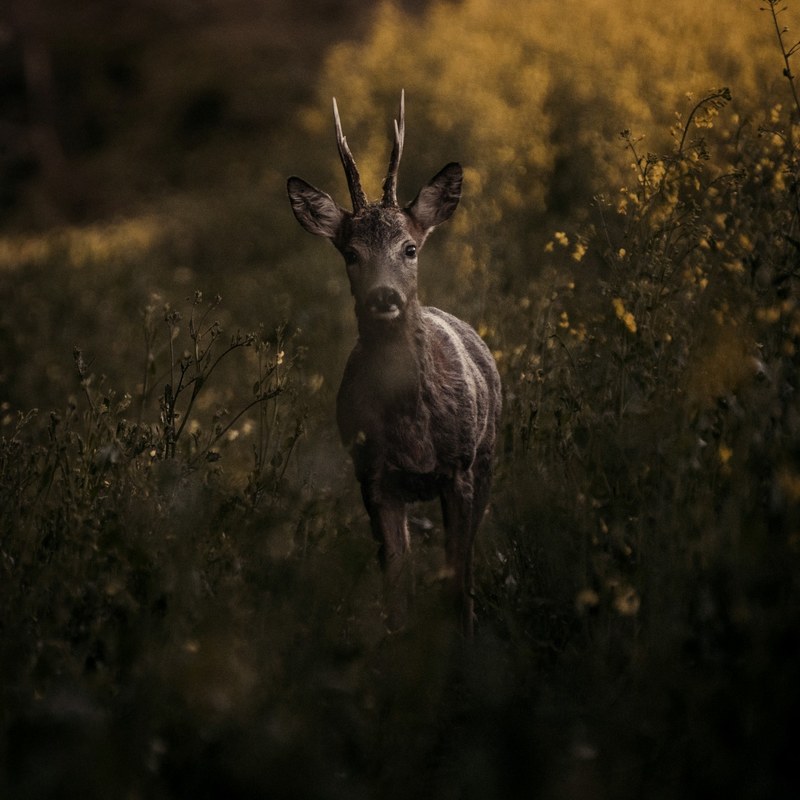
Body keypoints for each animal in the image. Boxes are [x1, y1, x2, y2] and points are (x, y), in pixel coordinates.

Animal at [287, 92, 501, 636]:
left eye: (410, 248)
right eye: (350, 253)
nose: (384, 297)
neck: (413, 434)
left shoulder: (458, 467)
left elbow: (457, 581)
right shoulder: (372, 476)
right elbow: (396, 593)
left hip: (488, 455)